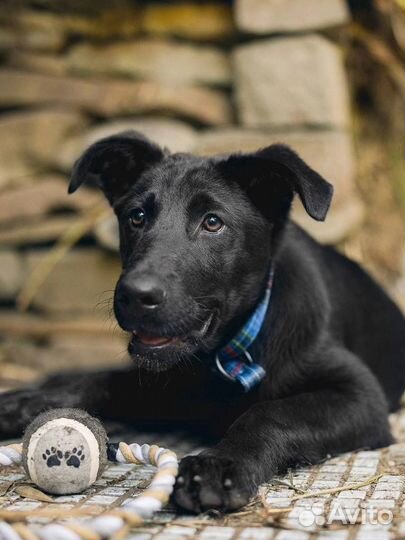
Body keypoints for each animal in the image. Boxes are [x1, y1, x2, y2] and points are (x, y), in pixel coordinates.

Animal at [0, 133, 404, 512]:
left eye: (212, 222)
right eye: (137, 217)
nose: (135, 295)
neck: (222, 357)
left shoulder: (360, 395)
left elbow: (271, 412)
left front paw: (219, 466)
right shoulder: (167, 382)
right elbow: (103, 381)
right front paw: (24, 401)